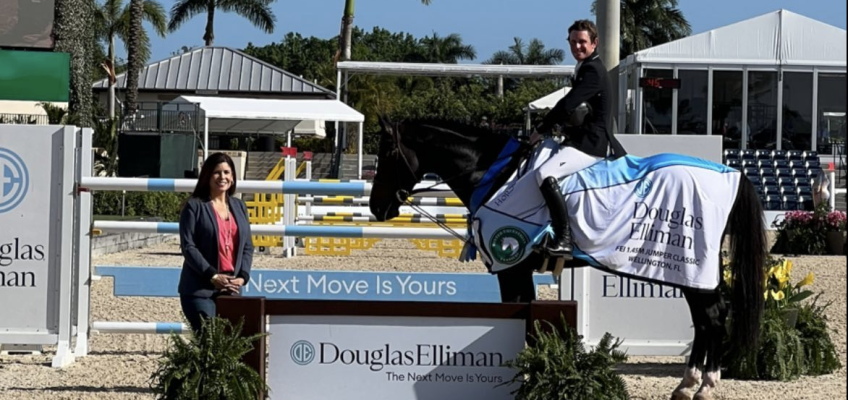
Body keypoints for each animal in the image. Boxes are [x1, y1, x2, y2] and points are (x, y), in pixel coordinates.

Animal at [372, 117, 768, 398]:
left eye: (387, 154)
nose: (377, 208)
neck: (495, 175)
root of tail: (732, 174)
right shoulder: (518, 272)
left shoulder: (511, 267)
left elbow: (520, 318)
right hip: (689, 272)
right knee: (705, 319)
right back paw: (687, 385)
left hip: (690, 268)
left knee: (712, 316)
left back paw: (704, 387)